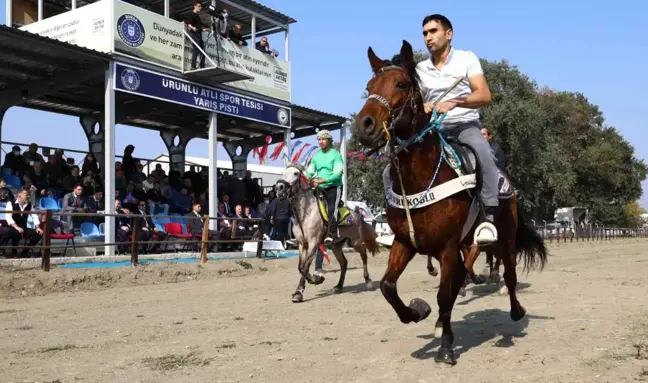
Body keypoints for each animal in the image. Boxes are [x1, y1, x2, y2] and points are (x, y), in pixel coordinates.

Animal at [274, 164, 380, 304]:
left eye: (296, 173)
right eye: (283, 173)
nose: (279, 188)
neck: (305, 214)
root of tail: (356, 214)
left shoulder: (313, 243)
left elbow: (305, 267)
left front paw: (309, 285)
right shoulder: (302, 244)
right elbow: (301, 266)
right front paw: (304, 288)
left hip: (355, 242)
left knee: (364, 255)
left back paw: (368, 281)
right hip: (336, 246)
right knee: (344, 263)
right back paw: (339, 286)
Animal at [354, 40, 548, 368]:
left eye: (401, 84)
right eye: (368, 87)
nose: (364, 125)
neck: (419, 180)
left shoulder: (446, 247)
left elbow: (444, 295)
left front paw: (445, 348)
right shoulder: (405, 242)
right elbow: (388, 286)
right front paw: (418, 312)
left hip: (504, 237)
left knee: (508, 274)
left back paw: (516, 311)